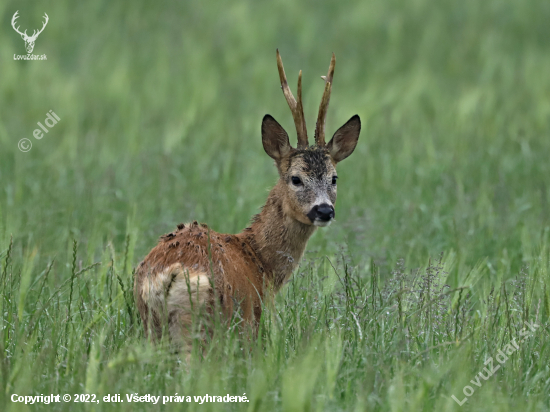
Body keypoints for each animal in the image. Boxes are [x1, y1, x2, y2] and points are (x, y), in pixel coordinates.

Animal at [135, 49, 362, 344]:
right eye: (296, 178)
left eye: (334, 178)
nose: (324, 210)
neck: (259, 260)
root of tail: (169, 274)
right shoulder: (252, 322)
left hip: (150, 327)